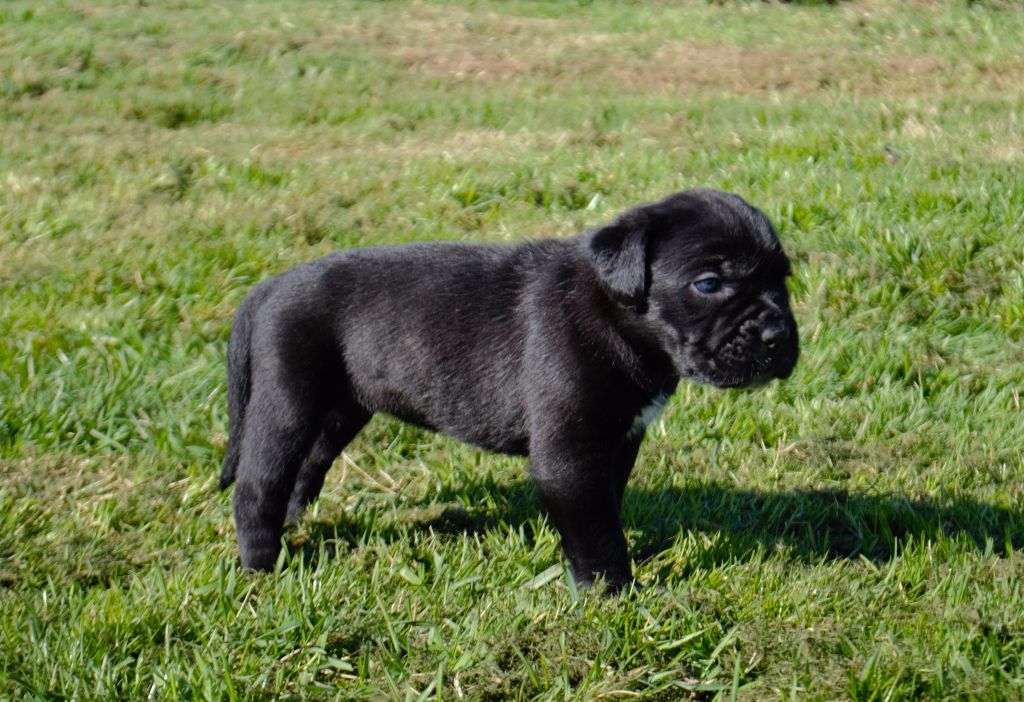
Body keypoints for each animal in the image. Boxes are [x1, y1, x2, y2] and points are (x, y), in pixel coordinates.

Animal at [219, 189, 798, 590]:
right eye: (708, 284)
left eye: (784, 281)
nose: (778, 336)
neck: (615, 314)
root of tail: (271, 286)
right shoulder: (569, 451)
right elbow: (595, 529)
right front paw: (613, 593)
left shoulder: (617, 442)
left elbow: (604, 506)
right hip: (288, 402)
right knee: (258, 483)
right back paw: (262, 568)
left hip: (342, 405)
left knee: (308, 464)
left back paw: (298, 523)